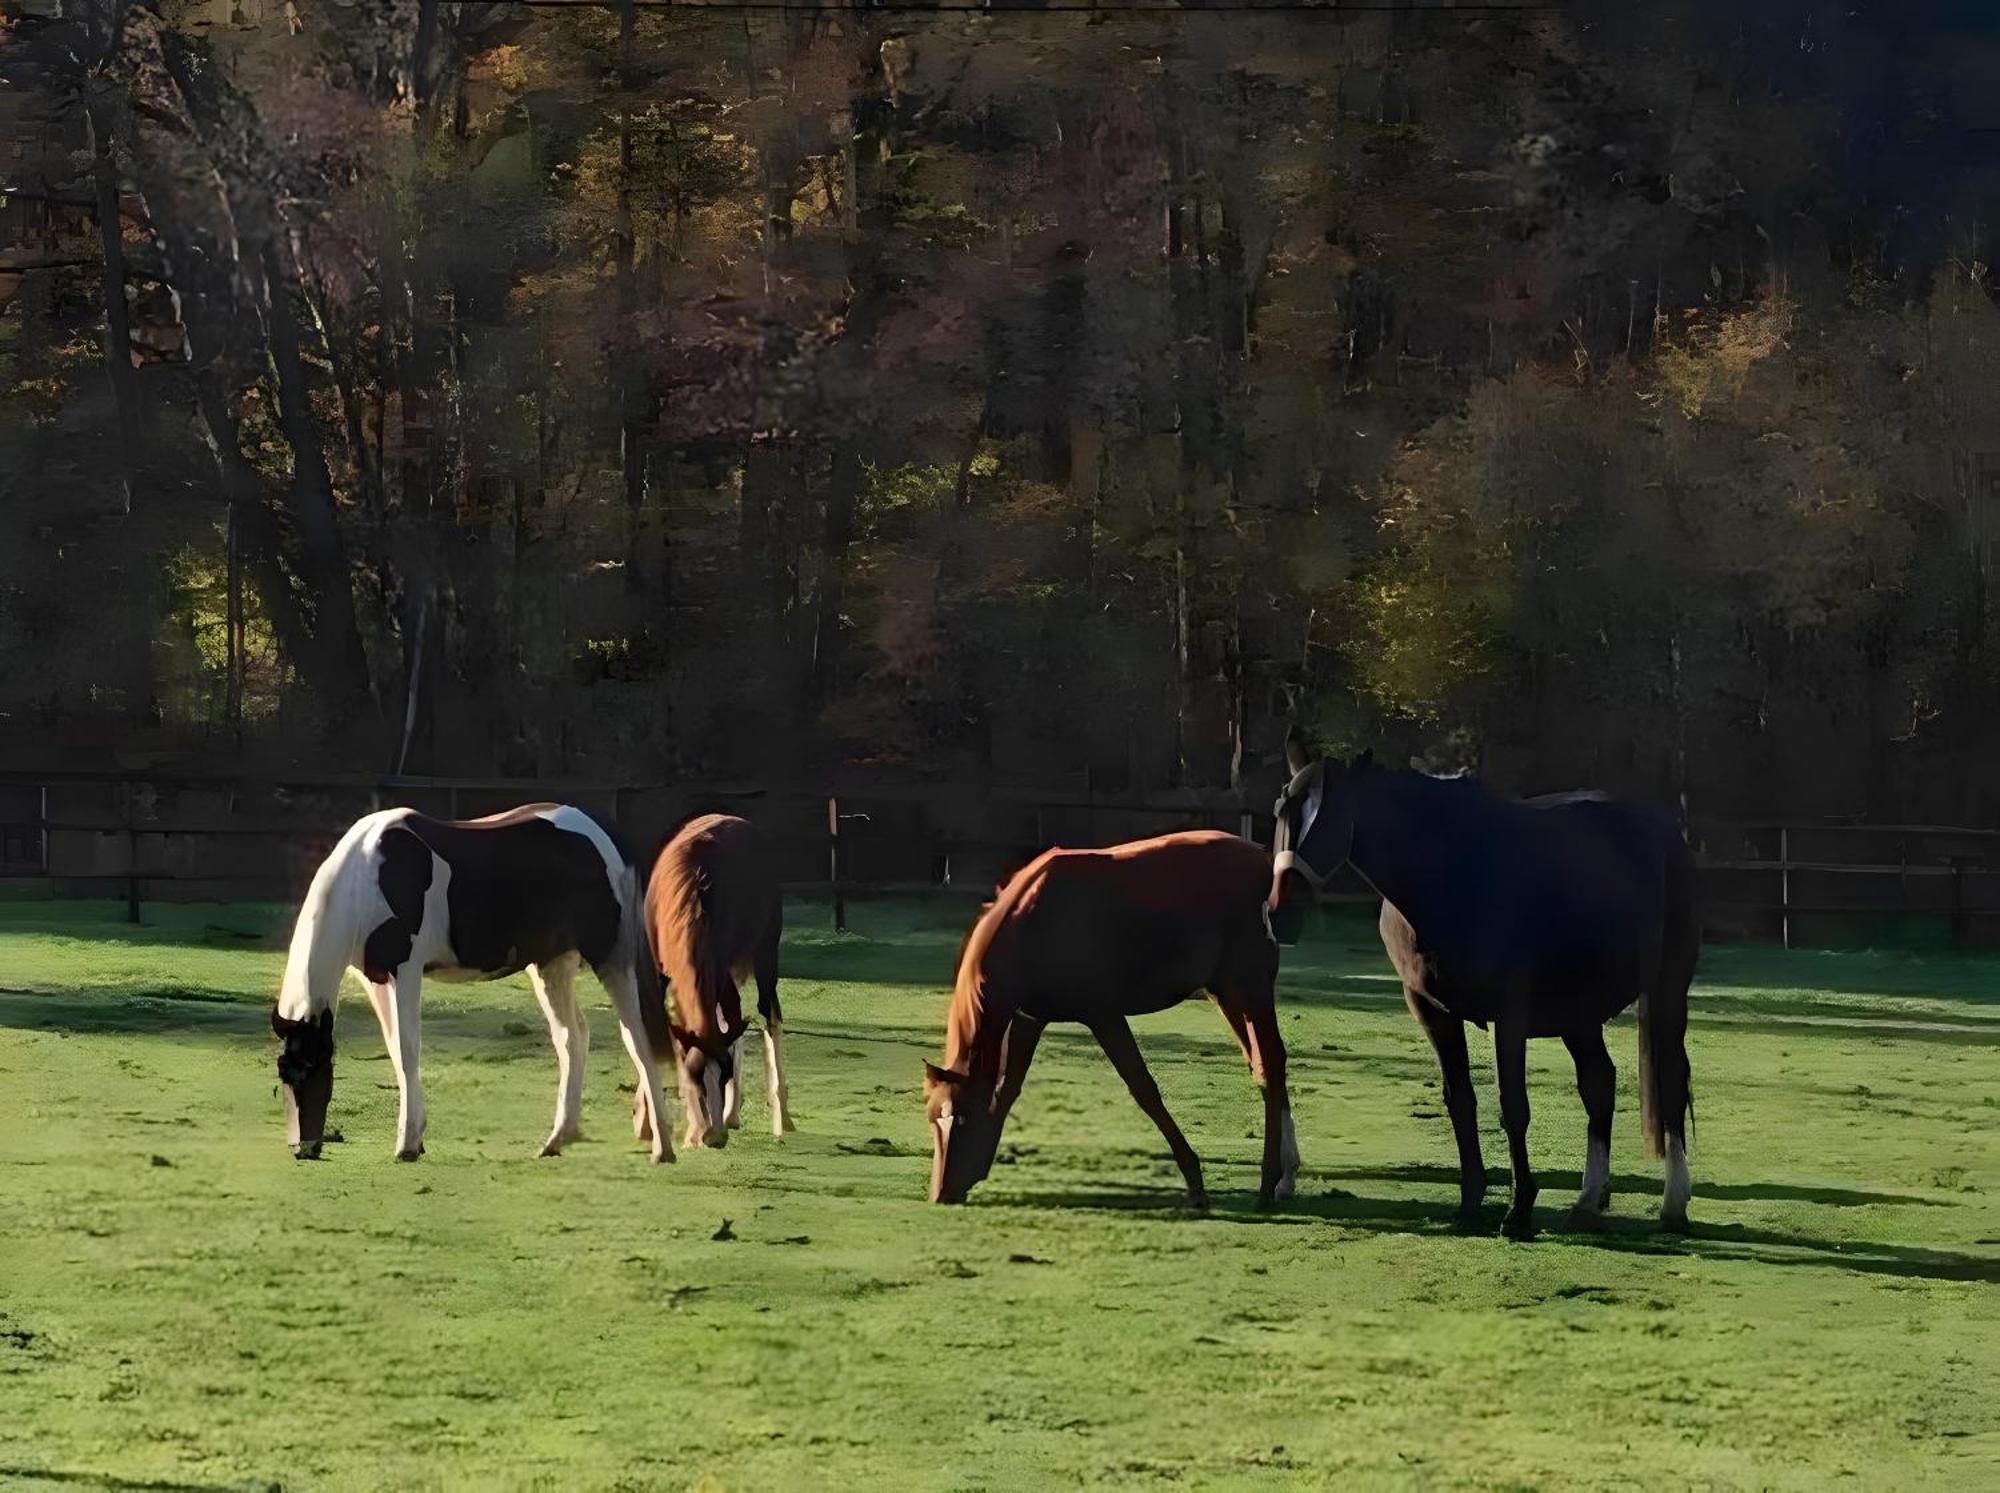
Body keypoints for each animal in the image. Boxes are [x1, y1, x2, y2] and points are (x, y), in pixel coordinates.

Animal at [270, 804, 676, 1160]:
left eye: (311, 1072)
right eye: (283, 1079)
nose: (302, 1149)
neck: (370, 876)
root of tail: (606, 836)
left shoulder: (406, 970)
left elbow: (408, 1049)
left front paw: (407, 1145)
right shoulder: (377, 980)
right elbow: (396, 1051)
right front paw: (415, 1138)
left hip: (611, 960)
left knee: (637, 1039)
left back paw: (662, 1147)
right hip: (552, 965)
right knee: (571, 1039)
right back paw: (557, 1140)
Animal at [644, 812, 792, 1152]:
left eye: (723, 1077)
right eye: (694, 1077)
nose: (714, 1137)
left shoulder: (721, 970)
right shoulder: (660, 975)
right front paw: (683, 1129)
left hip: (764, 953)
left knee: (768, 1015)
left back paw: (779, 1118)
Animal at [924, 832, 1296, 1200]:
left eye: (963, 1120)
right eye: (933, 1120)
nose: (941, 1193)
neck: (1035, 922)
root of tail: (1259, 860)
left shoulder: (1103, 1015)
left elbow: (1144, 1089)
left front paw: (1194, 1180)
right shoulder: (1031, 1018)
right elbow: (1008, 1089)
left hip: (1250, 988)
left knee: (1270, 1063)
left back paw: (1270, 1183)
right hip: (1226, 992)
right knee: (1262, 1065)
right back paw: (1284, 1176)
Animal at [1272, 740, 1696, 1232]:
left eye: (1332, 814)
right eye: (1282, 809)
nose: (1281, 913)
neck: (1447, 874)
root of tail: (1664, 832)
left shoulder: (1509, 1015)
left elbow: (1513, 1107)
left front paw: (1519, 1210)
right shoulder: (1431, 1012)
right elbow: (1460, 1101)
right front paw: (1470, 1202)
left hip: (1667, 989)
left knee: (1670, 1078)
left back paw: (1673, 1203)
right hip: (1579, 1013)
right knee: (1599, 1084)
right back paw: (1588, 1199)